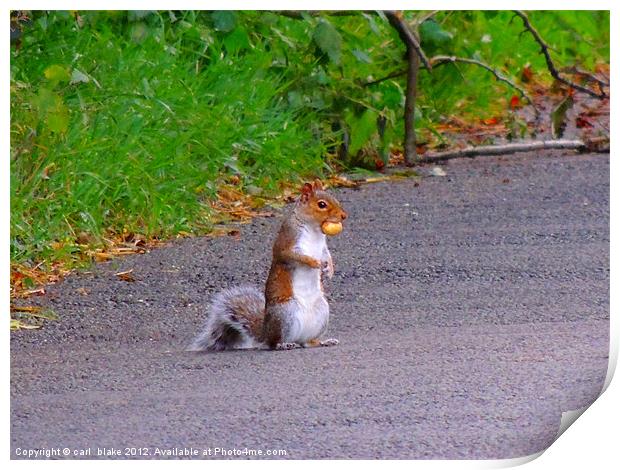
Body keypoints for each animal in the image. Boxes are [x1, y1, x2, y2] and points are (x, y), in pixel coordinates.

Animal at [186, 180, 346, 352]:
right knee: (273, 343)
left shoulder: (322, 246)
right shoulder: (287, 242)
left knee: (306, 342)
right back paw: (284, 344)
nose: (344, 216)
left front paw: (329, 269)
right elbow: (295, 256)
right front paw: (314, 262)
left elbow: (327, 255)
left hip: (321, 312)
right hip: (285, 314)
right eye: (322, 204)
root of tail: (264, 333)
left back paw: (323, 341)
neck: (314, 229)